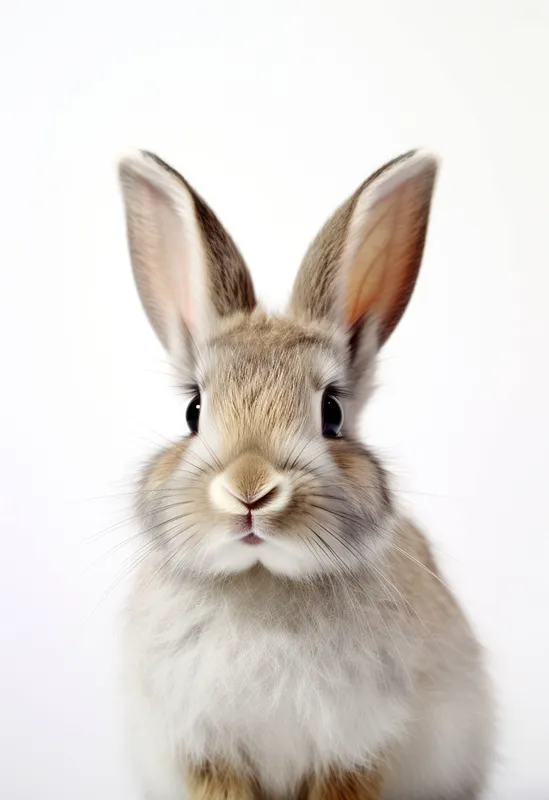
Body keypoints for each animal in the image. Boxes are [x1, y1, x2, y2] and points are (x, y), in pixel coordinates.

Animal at [117, 149, 495, 800]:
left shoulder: (356, 750)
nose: (250, 490)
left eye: (332, 413)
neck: (262, 579)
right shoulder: (207, 751)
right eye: (193, 410)